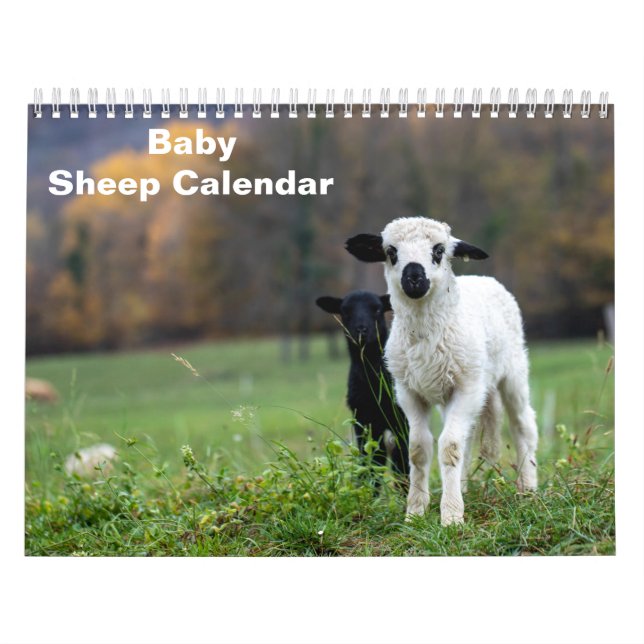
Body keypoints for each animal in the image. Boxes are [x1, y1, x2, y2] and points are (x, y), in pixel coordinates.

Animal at [316, 290, 409, 482]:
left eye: (378, 309)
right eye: (345, 311)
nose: (361, 330)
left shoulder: (401, 419)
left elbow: (402, 461)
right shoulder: (362, 419)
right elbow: (370, 460)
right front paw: (368, 487)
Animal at [346, 217, 538, 525]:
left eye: (439, 250)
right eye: (391, 251)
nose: (414, 277)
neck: (426, 334)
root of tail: (482, 278)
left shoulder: (467, 387)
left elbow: (449, 447)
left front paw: (451, 516)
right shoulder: (408, 393)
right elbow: (418, 449)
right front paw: (415, 512)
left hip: (513, 371)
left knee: (523, 425)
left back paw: (528, 488)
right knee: (468, 439)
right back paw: (464, 488)